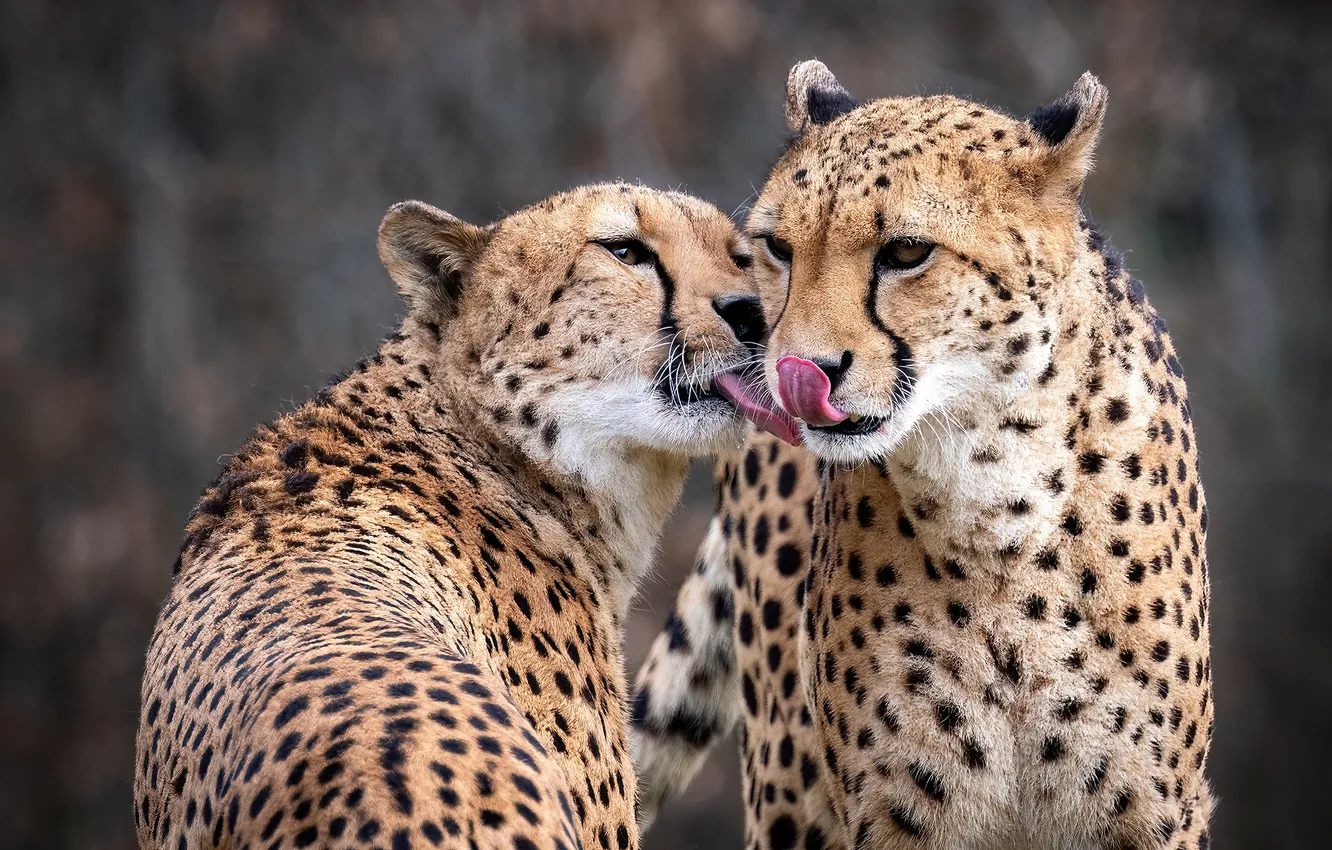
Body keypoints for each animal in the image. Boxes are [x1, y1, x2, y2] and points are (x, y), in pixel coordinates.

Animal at [631, 62, 1214, 850]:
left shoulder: (1157, 816)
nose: (797, 369)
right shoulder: (896, 820)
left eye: (907, 252)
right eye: (779, 248)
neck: (995, 483)